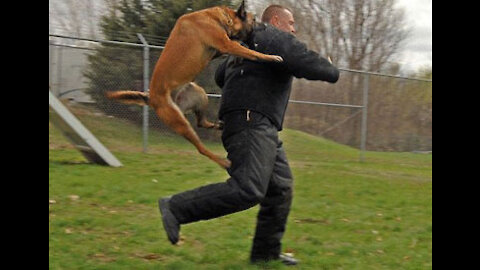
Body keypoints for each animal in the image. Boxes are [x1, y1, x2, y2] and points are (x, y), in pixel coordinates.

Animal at [107, 0, 284, 169]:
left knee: (201, 123)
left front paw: (238, 58)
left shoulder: (219, 49)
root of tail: (151, 97)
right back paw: (222, 161)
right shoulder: (225, 44)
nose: (266, 25)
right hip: (180, 122)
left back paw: (218, 125)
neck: (221, 19)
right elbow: (251, 52)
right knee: (200, 148)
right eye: (254, 20)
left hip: (199, 94)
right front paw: (271, 57)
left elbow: (240, 47)